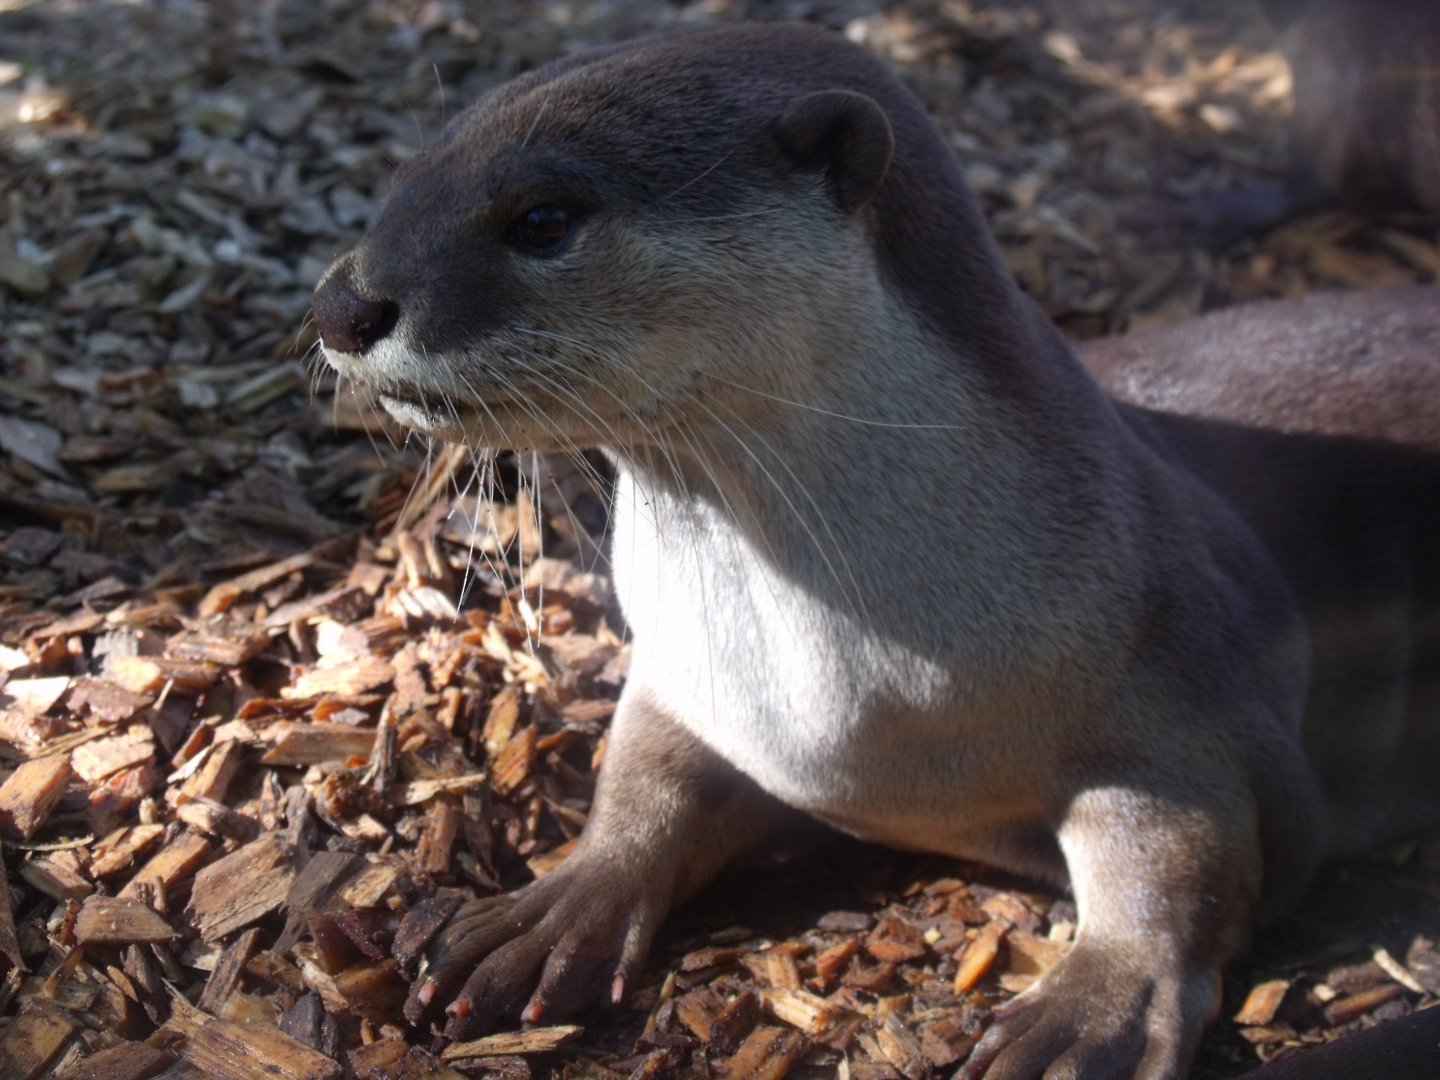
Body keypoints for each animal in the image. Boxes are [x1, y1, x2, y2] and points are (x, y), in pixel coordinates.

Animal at [310, 24, 1440, 1080]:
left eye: (543, 218)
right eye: (403, 181)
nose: (341, 303)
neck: (853, 695)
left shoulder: (1187, 685)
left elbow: (1177, 855)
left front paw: (1097, 1006)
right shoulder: (693, 681)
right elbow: (643, 775)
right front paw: (558, 904)